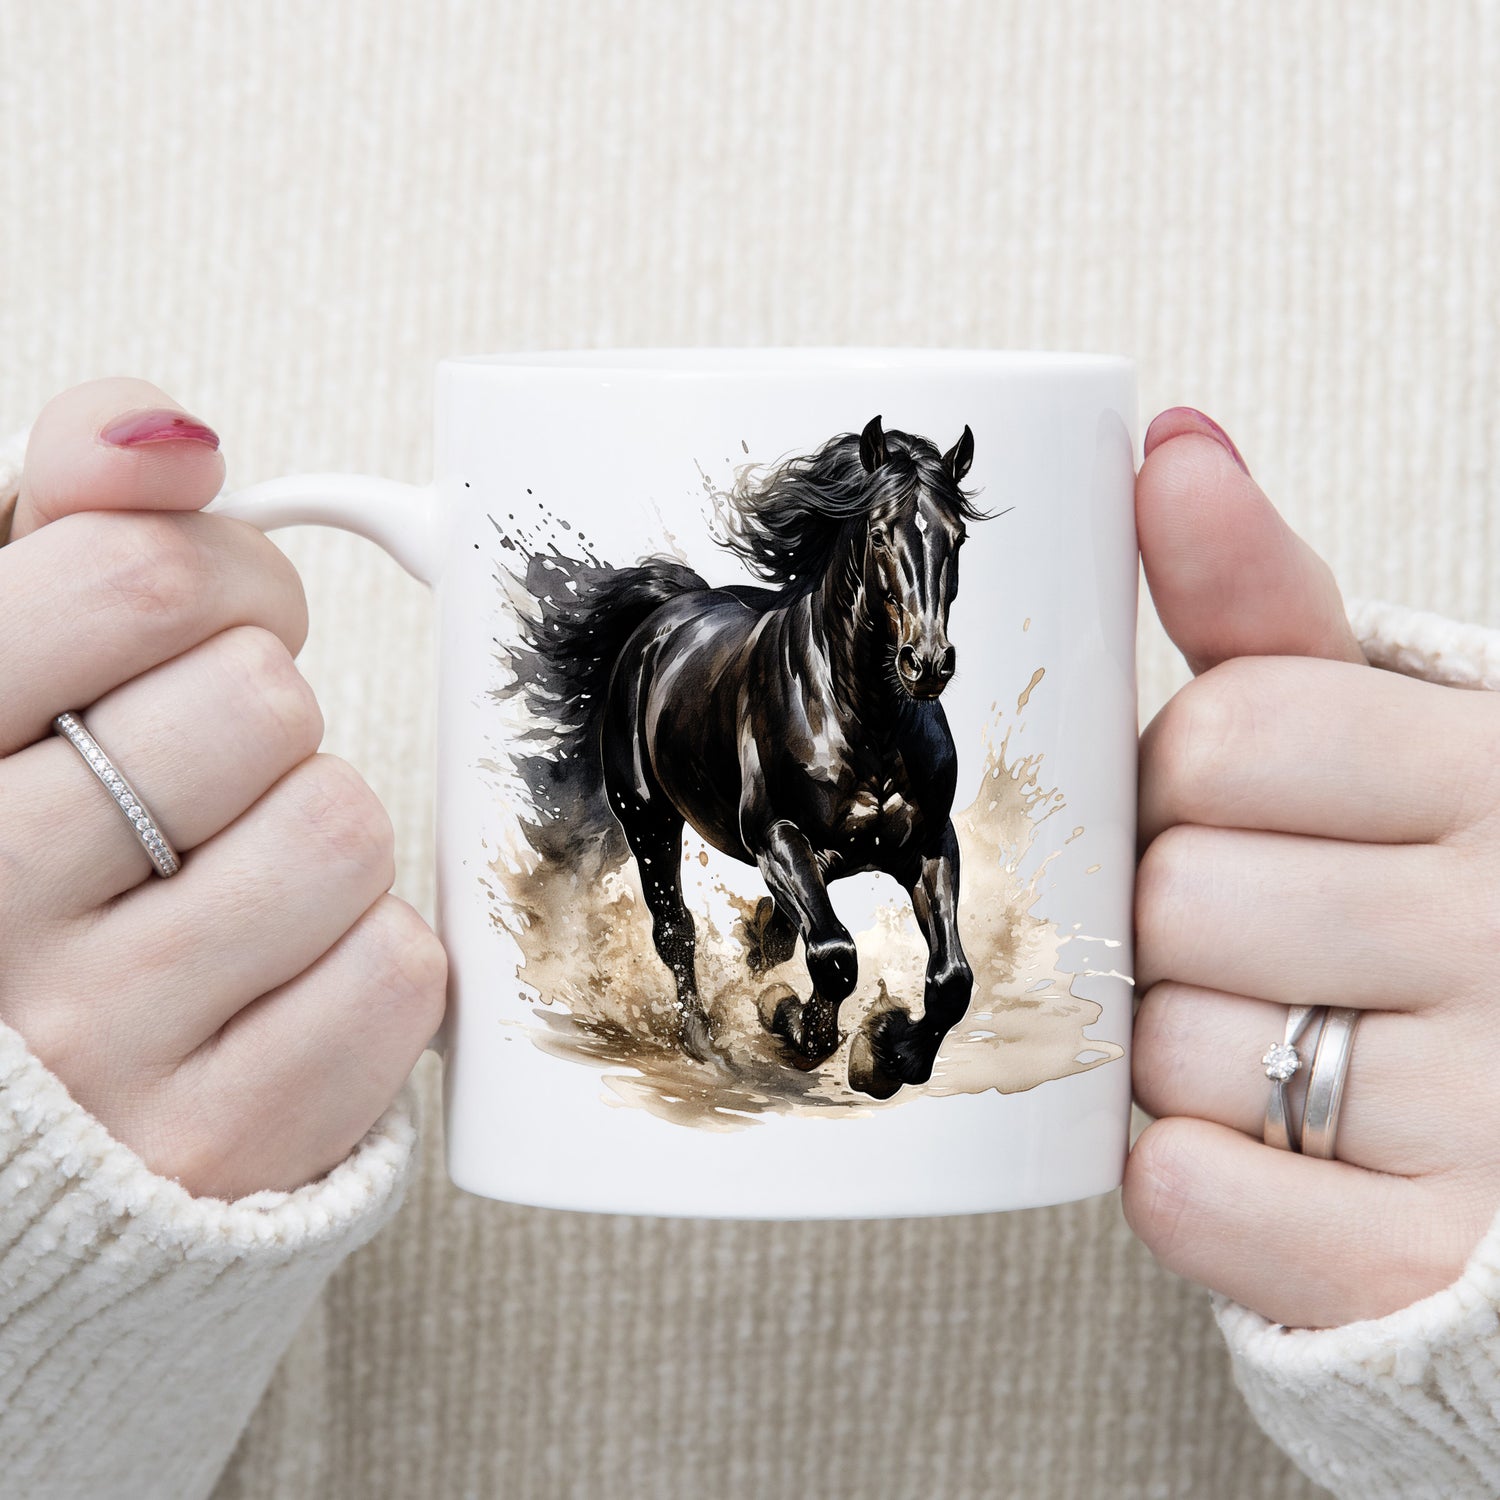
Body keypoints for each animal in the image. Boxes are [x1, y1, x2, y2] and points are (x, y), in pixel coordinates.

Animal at [508, 415, 984, 1100]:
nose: (926, 663)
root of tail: (662, 620)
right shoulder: (775, 835)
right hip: (649, 822)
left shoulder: (928, 842)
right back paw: (703, 1043)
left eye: (958, 537)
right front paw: (796, 1026)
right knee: (677, 933)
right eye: (877, 535)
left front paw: (890, 1056)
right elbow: (834, 958)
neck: (865, 722)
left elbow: (951, 981)